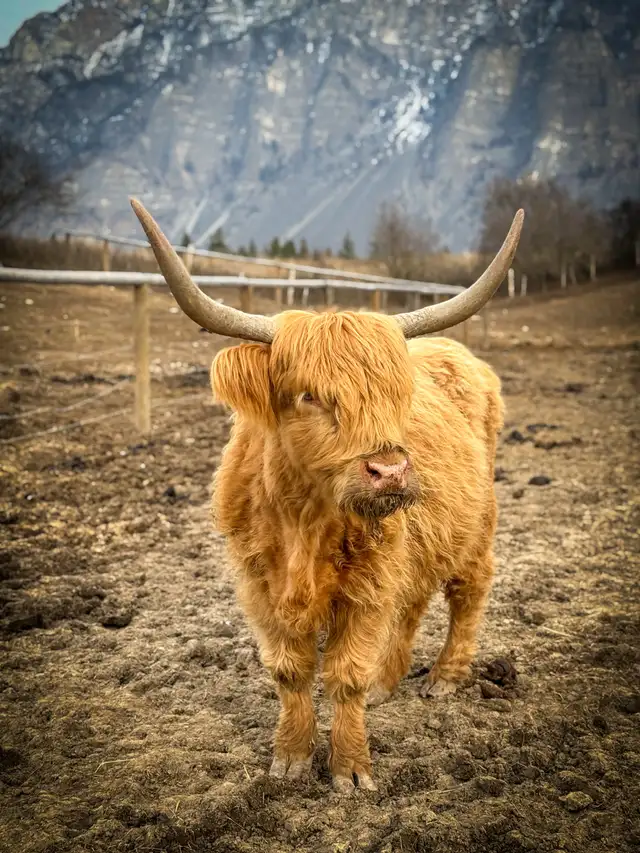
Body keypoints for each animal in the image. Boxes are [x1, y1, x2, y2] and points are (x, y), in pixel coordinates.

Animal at [131, 199, 523, 793]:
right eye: (310, 396)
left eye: (396, 394)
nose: (390, 471)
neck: (304, 520)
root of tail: (462, 353)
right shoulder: (259, 585)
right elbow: (290, 672)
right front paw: (291, 758)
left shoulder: (368, 584)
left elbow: (345, 675)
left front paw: (351, 769)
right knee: (414, 600)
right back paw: (390, 681)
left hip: (476, 525)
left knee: (467, 591)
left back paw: (445, 677)